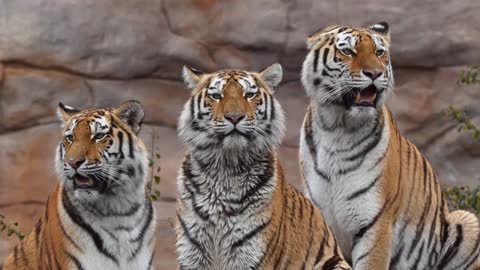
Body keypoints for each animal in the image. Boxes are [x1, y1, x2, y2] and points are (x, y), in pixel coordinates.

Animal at [298, 21, 478, 270]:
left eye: (379, 52)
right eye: (348, 51)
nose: (375, 73)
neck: (337, 128)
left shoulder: (375, 221)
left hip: (468, 221)